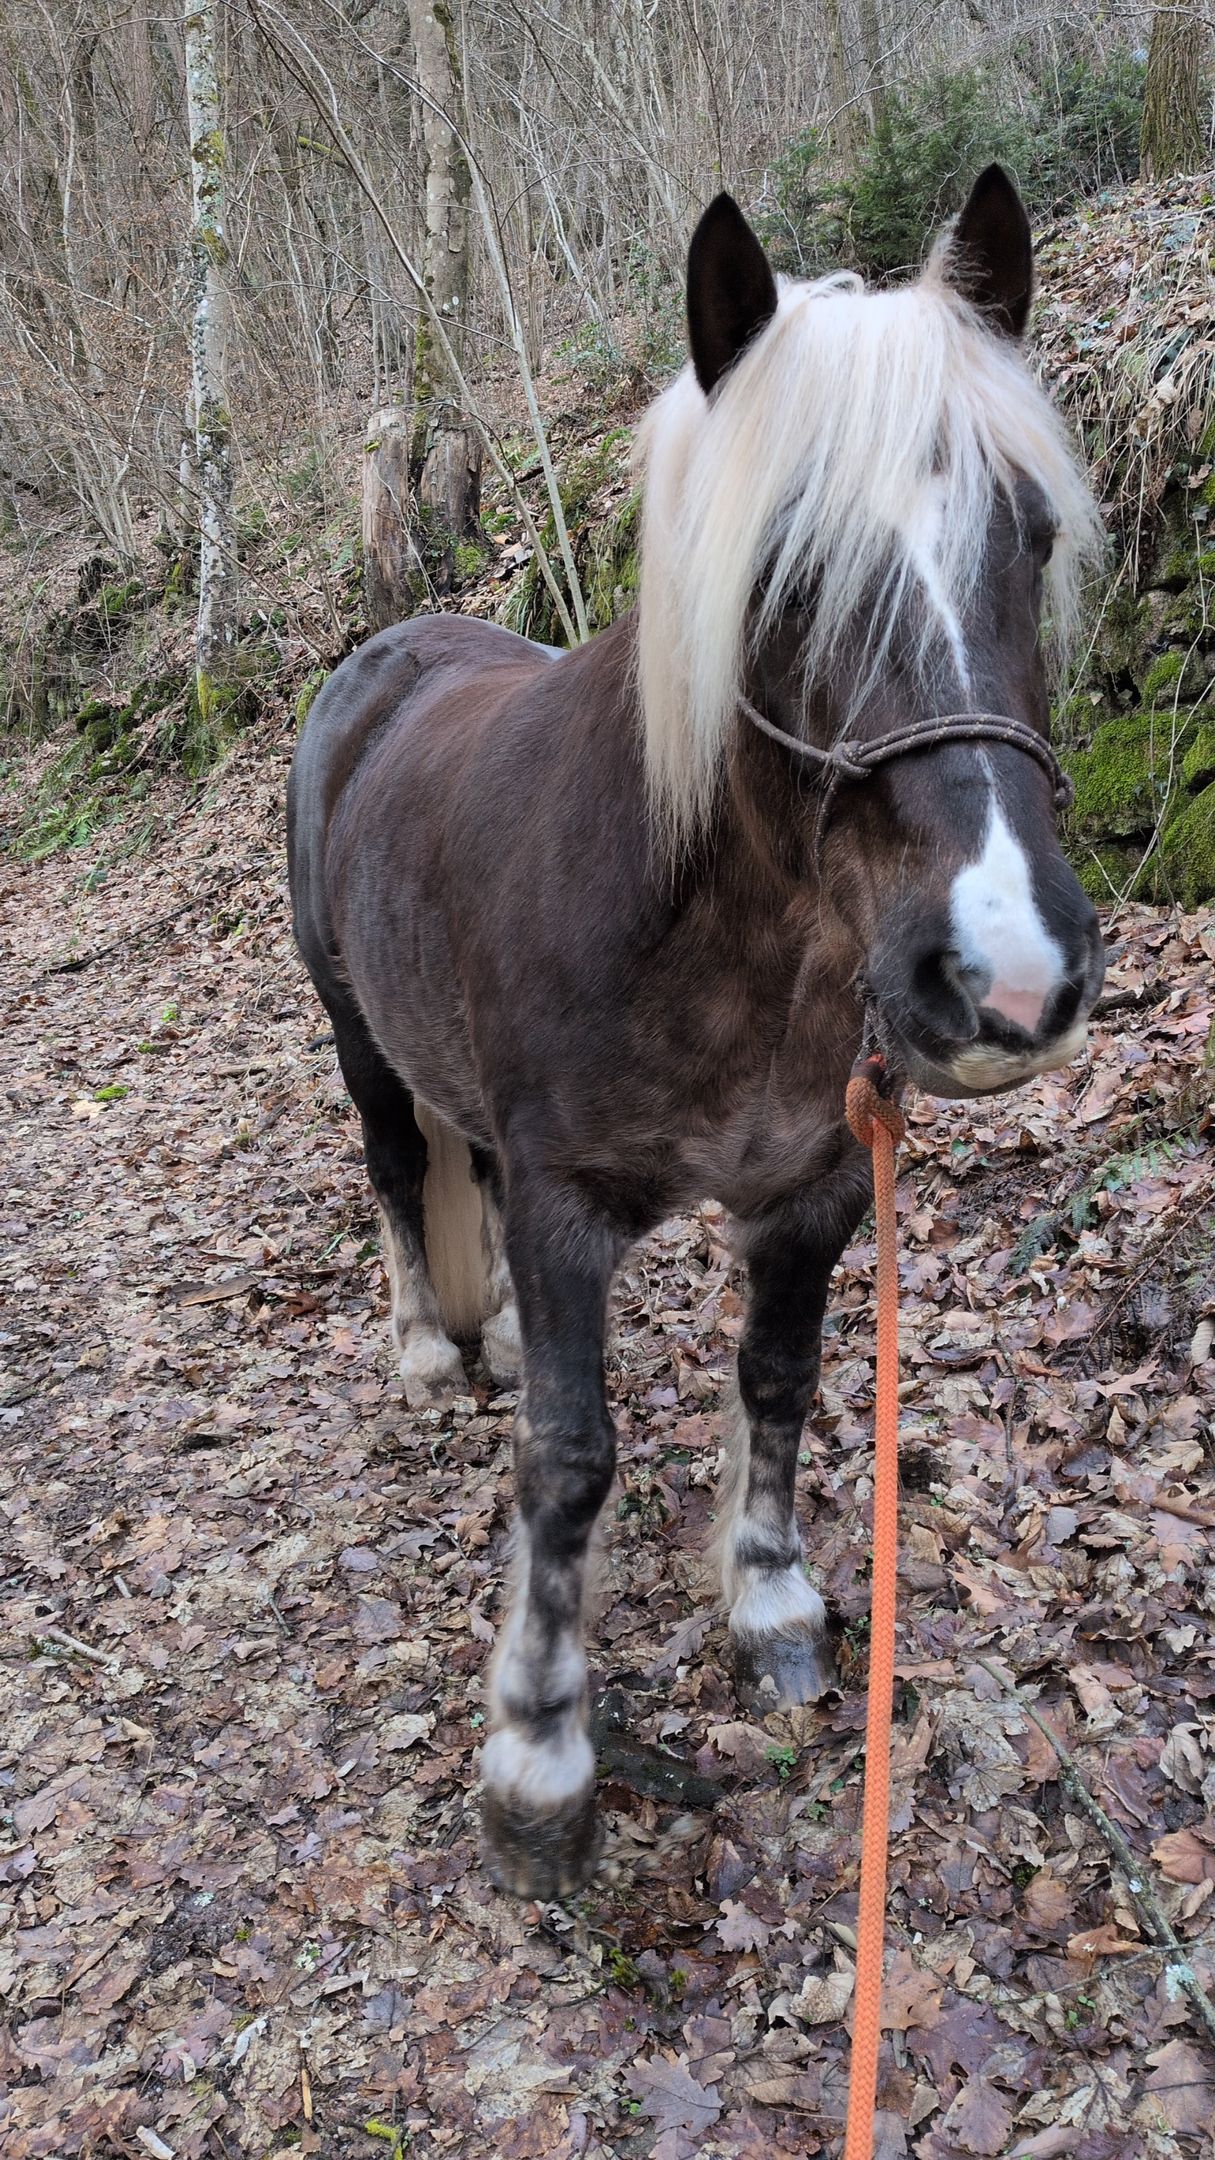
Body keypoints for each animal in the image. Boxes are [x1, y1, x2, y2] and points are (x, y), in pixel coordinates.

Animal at [287, 166, 1106, 1899]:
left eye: (1028, 531)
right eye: (781, 569)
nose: (1007, 980)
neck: (729, 950)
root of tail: (381, 656)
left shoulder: (812, 1190)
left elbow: (778, 1379)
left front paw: (770, 1602)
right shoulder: (565, 1209)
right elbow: (567, 1462)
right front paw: (537, 1757)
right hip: (355, 1038)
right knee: (395, 1169)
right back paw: (424, 1347)